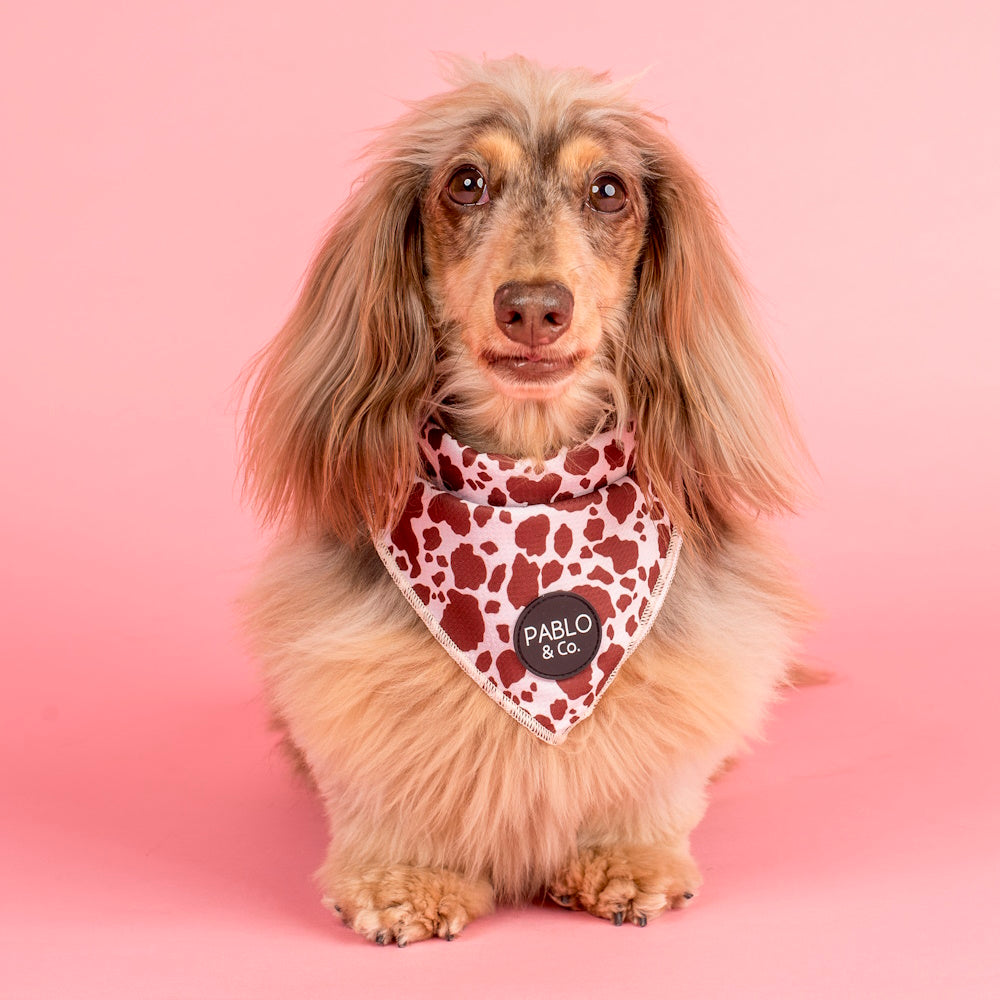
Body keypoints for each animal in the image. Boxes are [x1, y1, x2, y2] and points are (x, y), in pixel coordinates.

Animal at [238, 54, 808, 944]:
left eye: (608, 190)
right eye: (466, 182)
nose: (534, 307)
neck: (531, 483)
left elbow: (651, 776)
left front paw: (625, 857)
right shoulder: (351, 683)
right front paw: (407, 874)